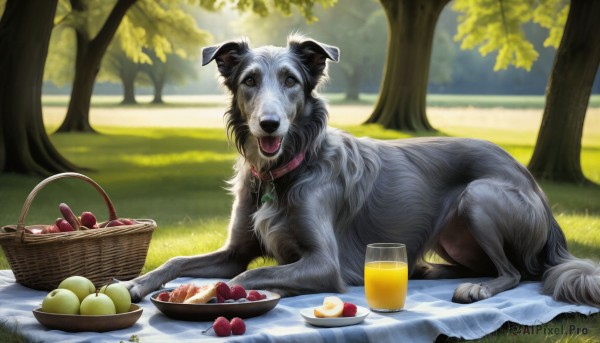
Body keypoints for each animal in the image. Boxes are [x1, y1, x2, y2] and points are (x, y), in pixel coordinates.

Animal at [124, 36, 596, 308]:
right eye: (250, 80)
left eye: (291, 80)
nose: (269, 125)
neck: (286, 171)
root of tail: (536, 187)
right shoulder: (235, 249)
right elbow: (180, 259)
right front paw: (136, 284)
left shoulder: (324, 264)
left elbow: (249, 275)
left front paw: (228, 295)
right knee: (480, 267)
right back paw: (429, 271)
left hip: (480, 195)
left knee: (517, 273)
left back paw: (477, 288)